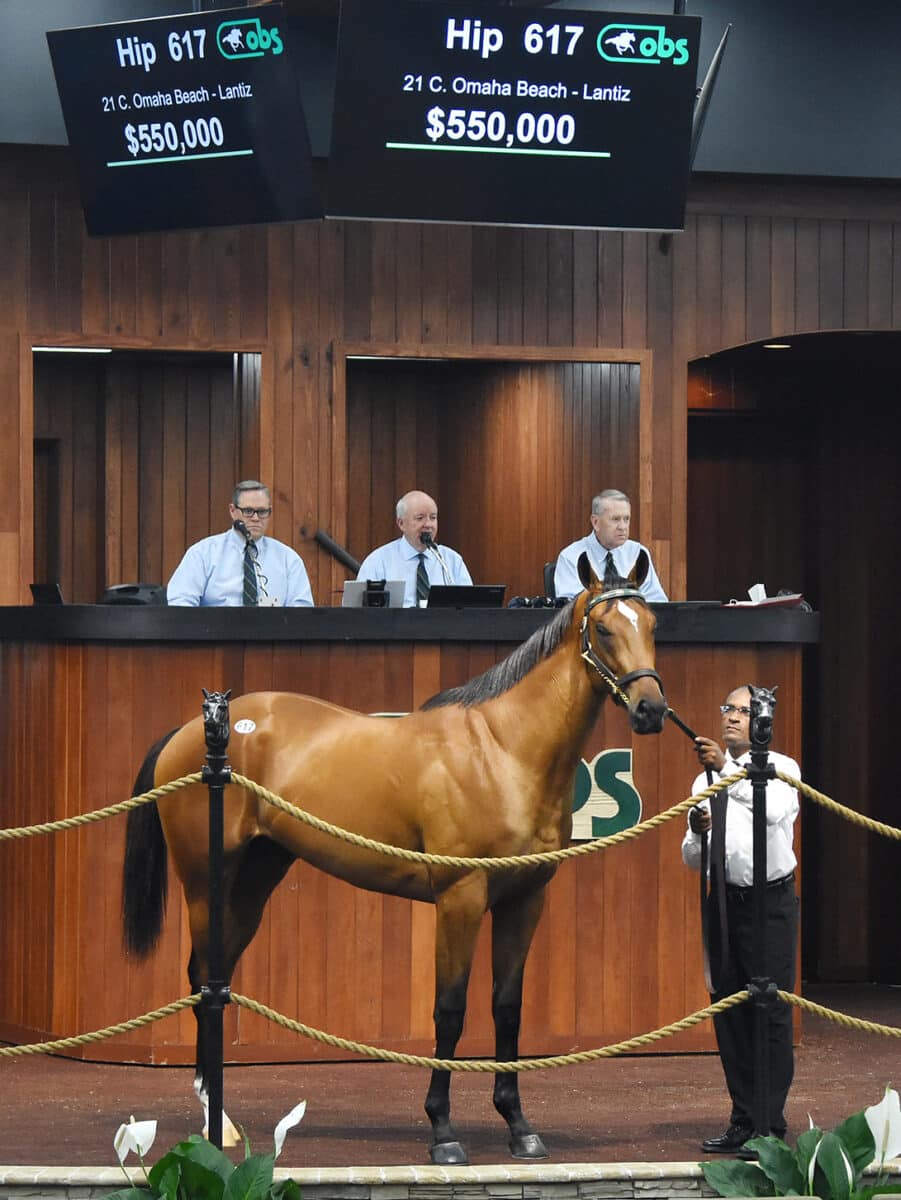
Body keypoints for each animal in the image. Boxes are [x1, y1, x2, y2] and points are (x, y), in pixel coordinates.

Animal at [123, 552, 667, 1161]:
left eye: (652, 626)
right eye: (605, 629)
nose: (651, 709)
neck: (502, 751)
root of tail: (196, 730)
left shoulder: (525, 900)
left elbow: (507, 1007)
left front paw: (518, 1125)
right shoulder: (460, 899)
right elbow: (450, 1010)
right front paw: (443, 1132)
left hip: (255, 881)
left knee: (214, 977)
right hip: (206, 882)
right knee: (203, 980)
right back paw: (215, 1121)